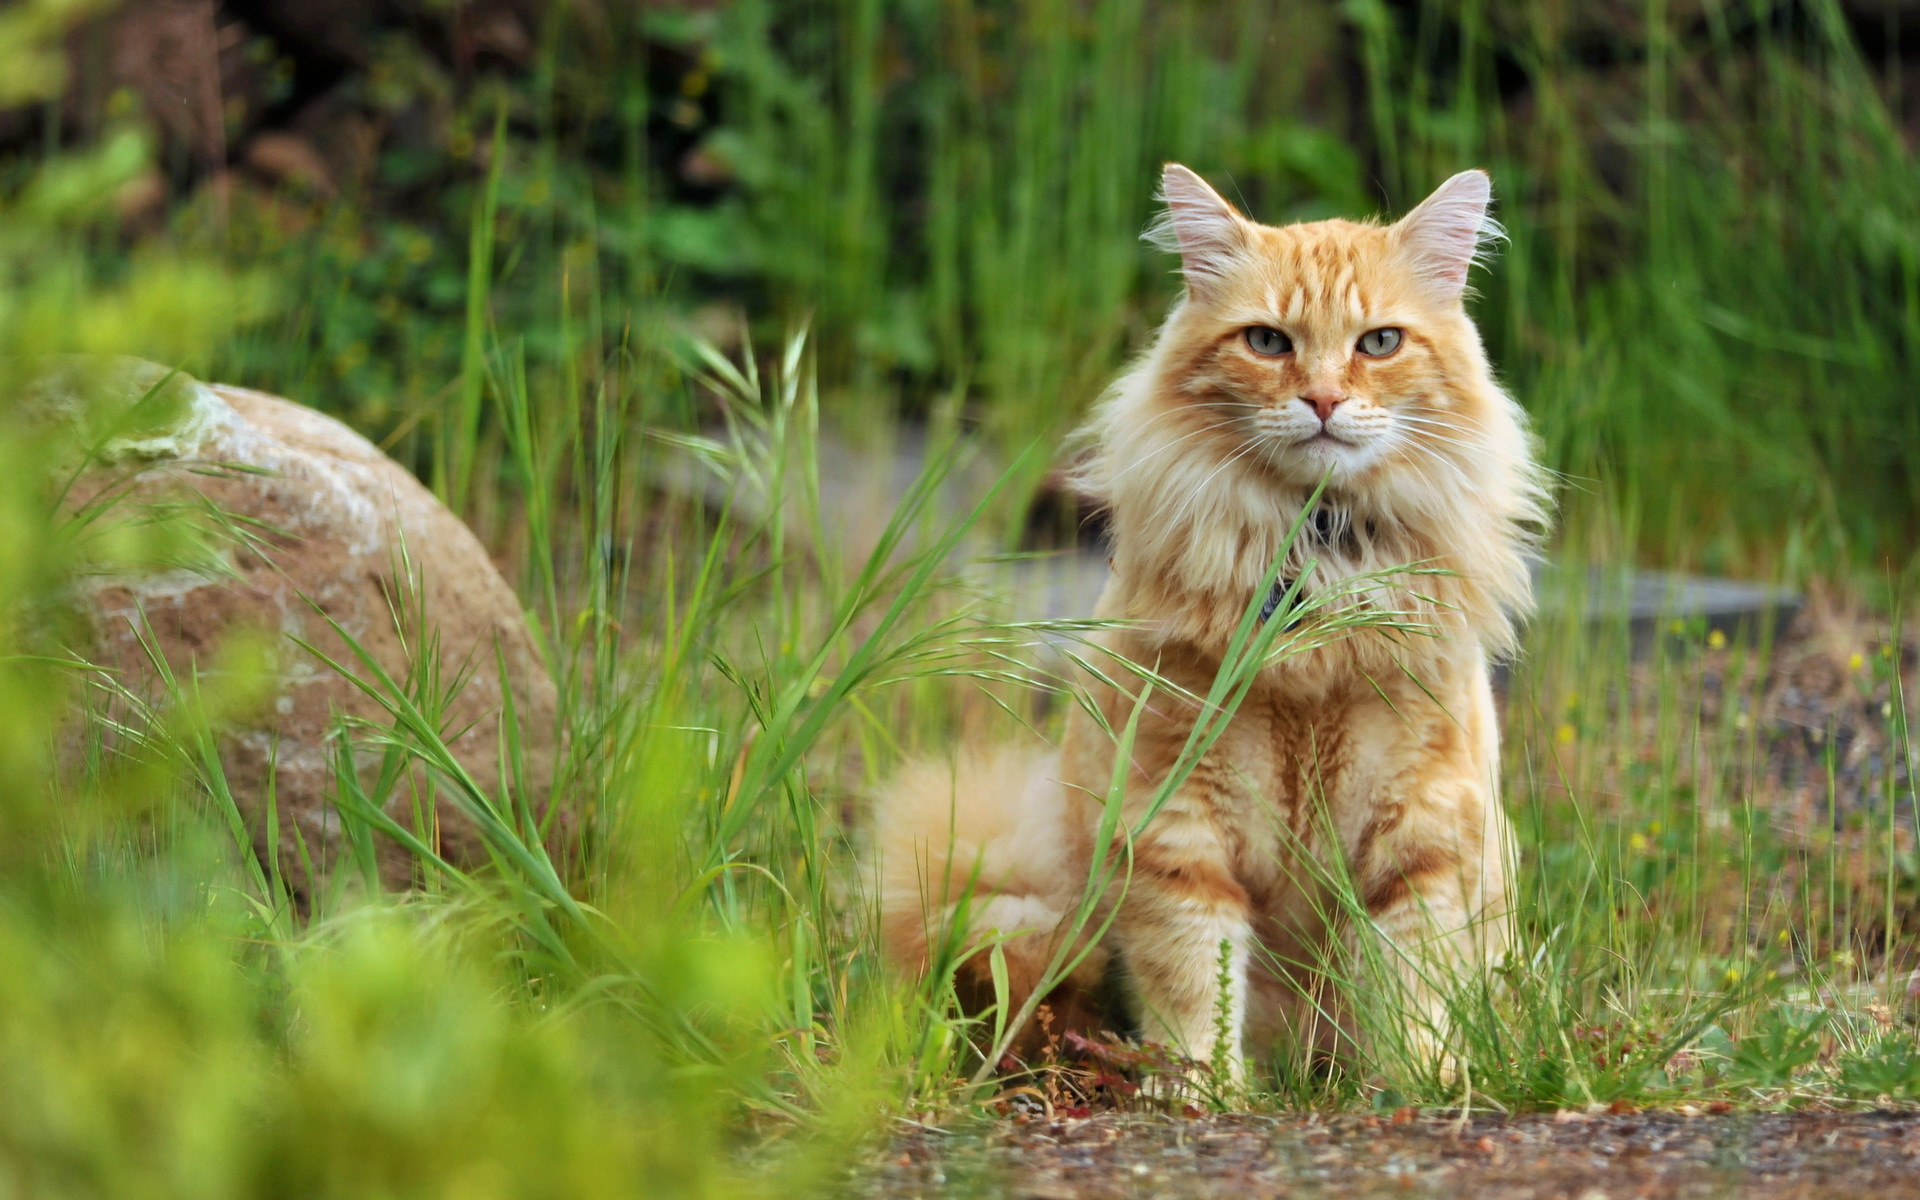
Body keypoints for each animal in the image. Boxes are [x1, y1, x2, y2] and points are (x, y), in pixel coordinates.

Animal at [879, 166, 1551, 1075]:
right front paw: (1202, 1089)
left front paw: (1422, 1081)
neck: (1314, 564)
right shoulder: (1176, 833)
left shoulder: (1422, 838)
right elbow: (1197, 987)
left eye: (1379, 343)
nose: (1324, 399)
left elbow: (1413, 994)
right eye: (1267, 342)